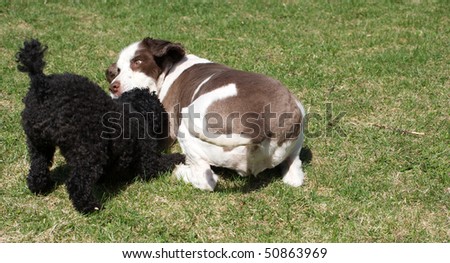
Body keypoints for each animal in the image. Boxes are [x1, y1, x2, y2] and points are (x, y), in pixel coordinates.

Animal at [16, 39, 185, 214]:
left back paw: (40, 187)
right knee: (77, 182)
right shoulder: (148, 159)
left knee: (38, 166)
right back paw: (90, 206)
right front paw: (179, 157)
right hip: (90, 151)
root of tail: (41, 84)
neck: (135, 108)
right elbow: (161, 163)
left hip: (38, 143)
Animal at [107, 37, 308, 192]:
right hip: (298, 118)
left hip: (188, 128)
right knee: (294, 171)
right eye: (118, 69)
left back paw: (180, 171)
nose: (113, 86)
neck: (171, 67)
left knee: (207, 180)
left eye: (138, 62)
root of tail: (262, 124)